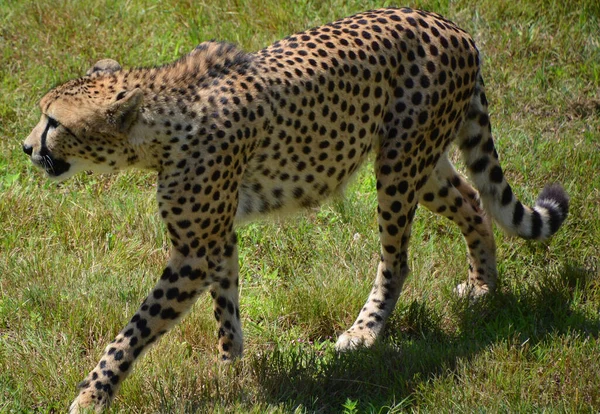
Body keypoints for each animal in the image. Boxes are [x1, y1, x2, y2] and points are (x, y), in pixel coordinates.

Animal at [22, 6, 568, 410]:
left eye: (54, 122)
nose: (26, 148)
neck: (159, 124)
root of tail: (450, 25)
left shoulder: (193, 251)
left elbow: (136, 327)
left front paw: (93, 393)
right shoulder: (217, 236)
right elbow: (226, 304)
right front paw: (231, 368)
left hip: (399, 165)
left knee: (397, 258)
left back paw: (366, 331)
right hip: (421, 161)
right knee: (474, 200)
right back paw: (483, 285)